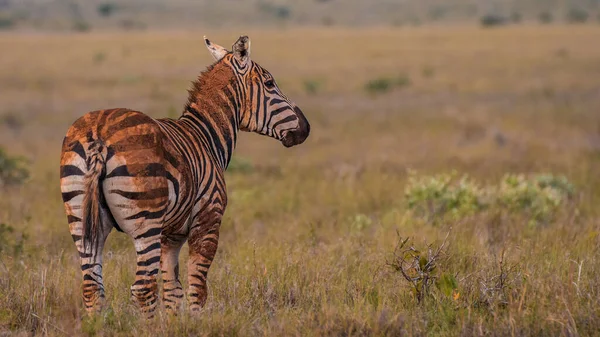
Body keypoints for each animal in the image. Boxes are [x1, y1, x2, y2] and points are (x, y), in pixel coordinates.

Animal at [59, 35, 312, 314]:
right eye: (269, 83)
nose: (306, 128)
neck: (207, 137)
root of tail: (99, 133)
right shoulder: (207, 221)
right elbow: (196, 290)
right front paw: (196, 321)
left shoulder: (171, 234)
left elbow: (173, 291)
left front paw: (174, 321)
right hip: (145, 221)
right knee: (143, 289)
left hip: (81, 217)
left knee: (92, 287)